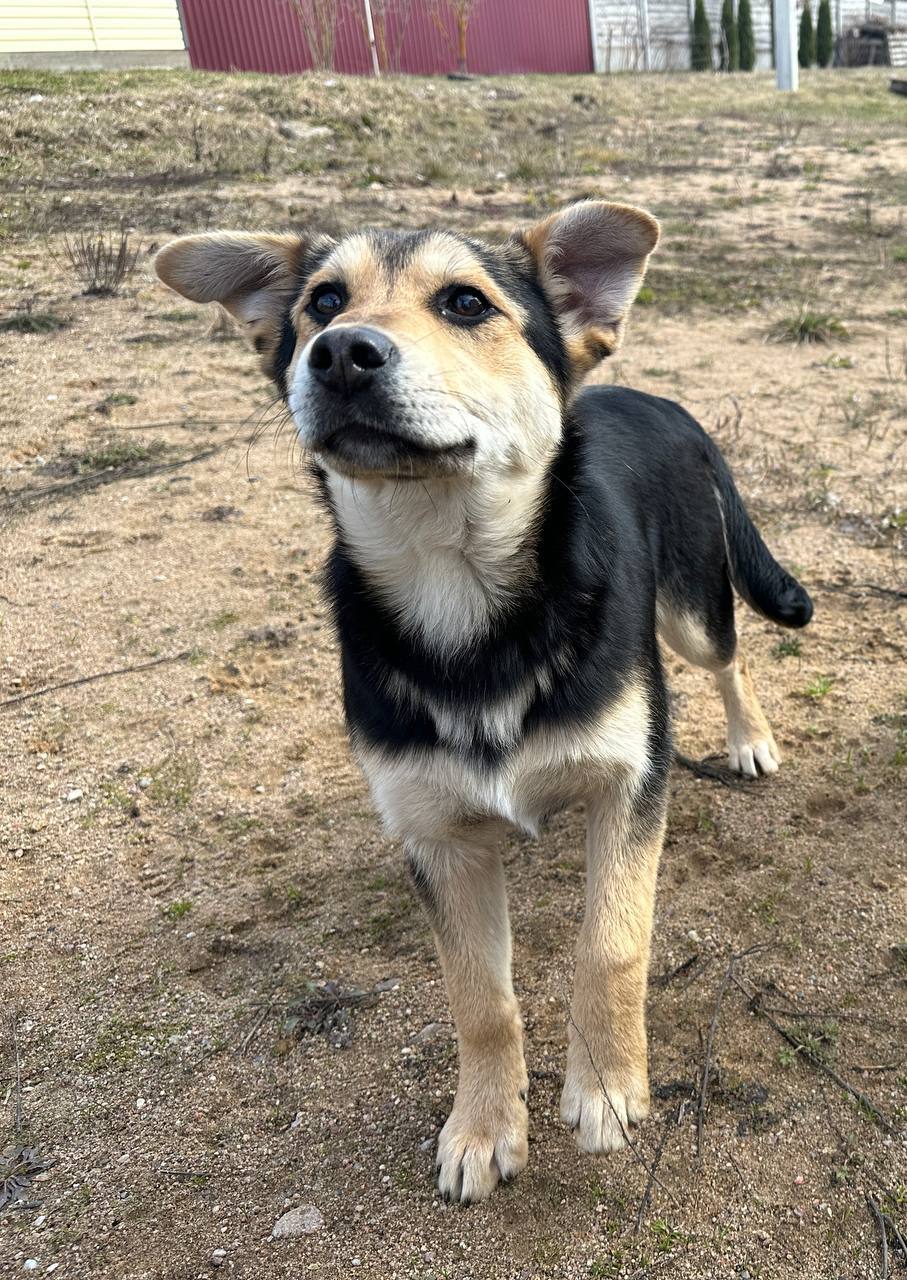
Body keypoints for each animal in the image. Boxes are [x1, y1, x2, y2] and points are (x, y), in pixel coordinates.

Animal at [152, 199, 808, 1198]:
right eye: (322, 301)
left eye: (465, 302)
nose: (341, 353)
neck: (458, 590)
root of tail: (654, 399)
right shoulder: (436, 836)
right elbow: (479, 999)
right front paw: (482, 1126)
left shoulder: (630, 780)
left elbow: (610, 944)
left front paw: (606, 1086)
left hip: (690, 607)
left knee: (729, 658)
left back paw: (748, 740)